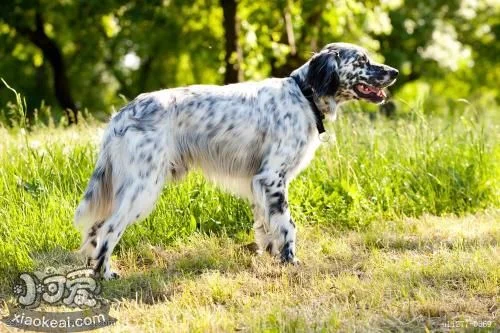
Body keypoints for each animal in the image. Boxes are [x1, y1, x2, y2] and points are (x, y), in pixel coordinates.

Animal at [74, 42, 398, 278]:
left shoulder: (258, 182)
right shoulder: (272, 177)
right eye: (362, 61)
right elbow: (287, 224)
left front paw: (271, 255)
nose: (394, 71)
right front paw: (290, 262)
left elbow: (266, 225)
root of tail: (121, 115)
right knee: (108, 229)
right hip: (142, 188)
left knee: (95, 229)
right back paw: (106, 273)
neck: (304, 96)